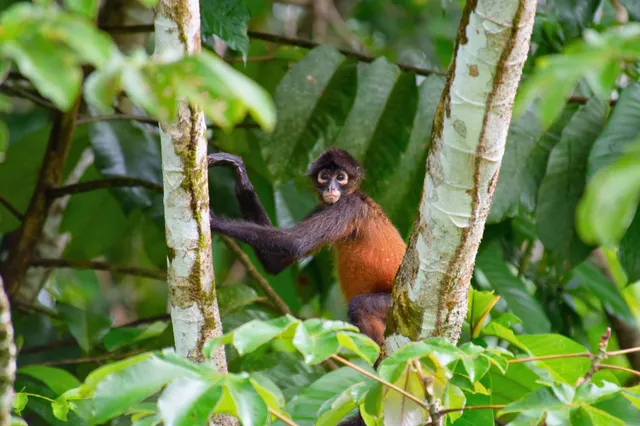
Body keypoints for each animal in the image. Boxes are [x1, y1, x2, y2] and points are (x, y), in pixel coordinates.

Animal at [207, 148, 407, 347]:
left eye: (340, 177)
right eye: (324, 176)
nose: (331, 188)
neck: (351, 194)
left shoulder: (348, 206)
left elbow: (295, 242)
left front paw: (215, 222)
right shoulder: (322, 207)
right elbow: (275, 262)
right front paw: (240, 174)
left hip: (392, 303)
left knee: (360, 306)